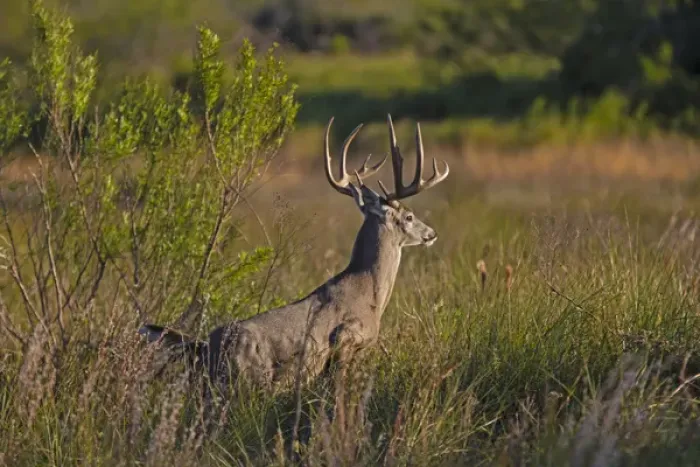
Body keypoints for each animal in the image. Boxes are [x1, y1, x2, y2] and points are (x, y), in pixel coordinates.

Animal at [139, 114, 449, 393]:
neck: (370, 293)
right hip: (248, 381)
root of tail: (204, 346)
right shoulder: (345, 342)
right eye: (409, 217)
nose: (432, 233)